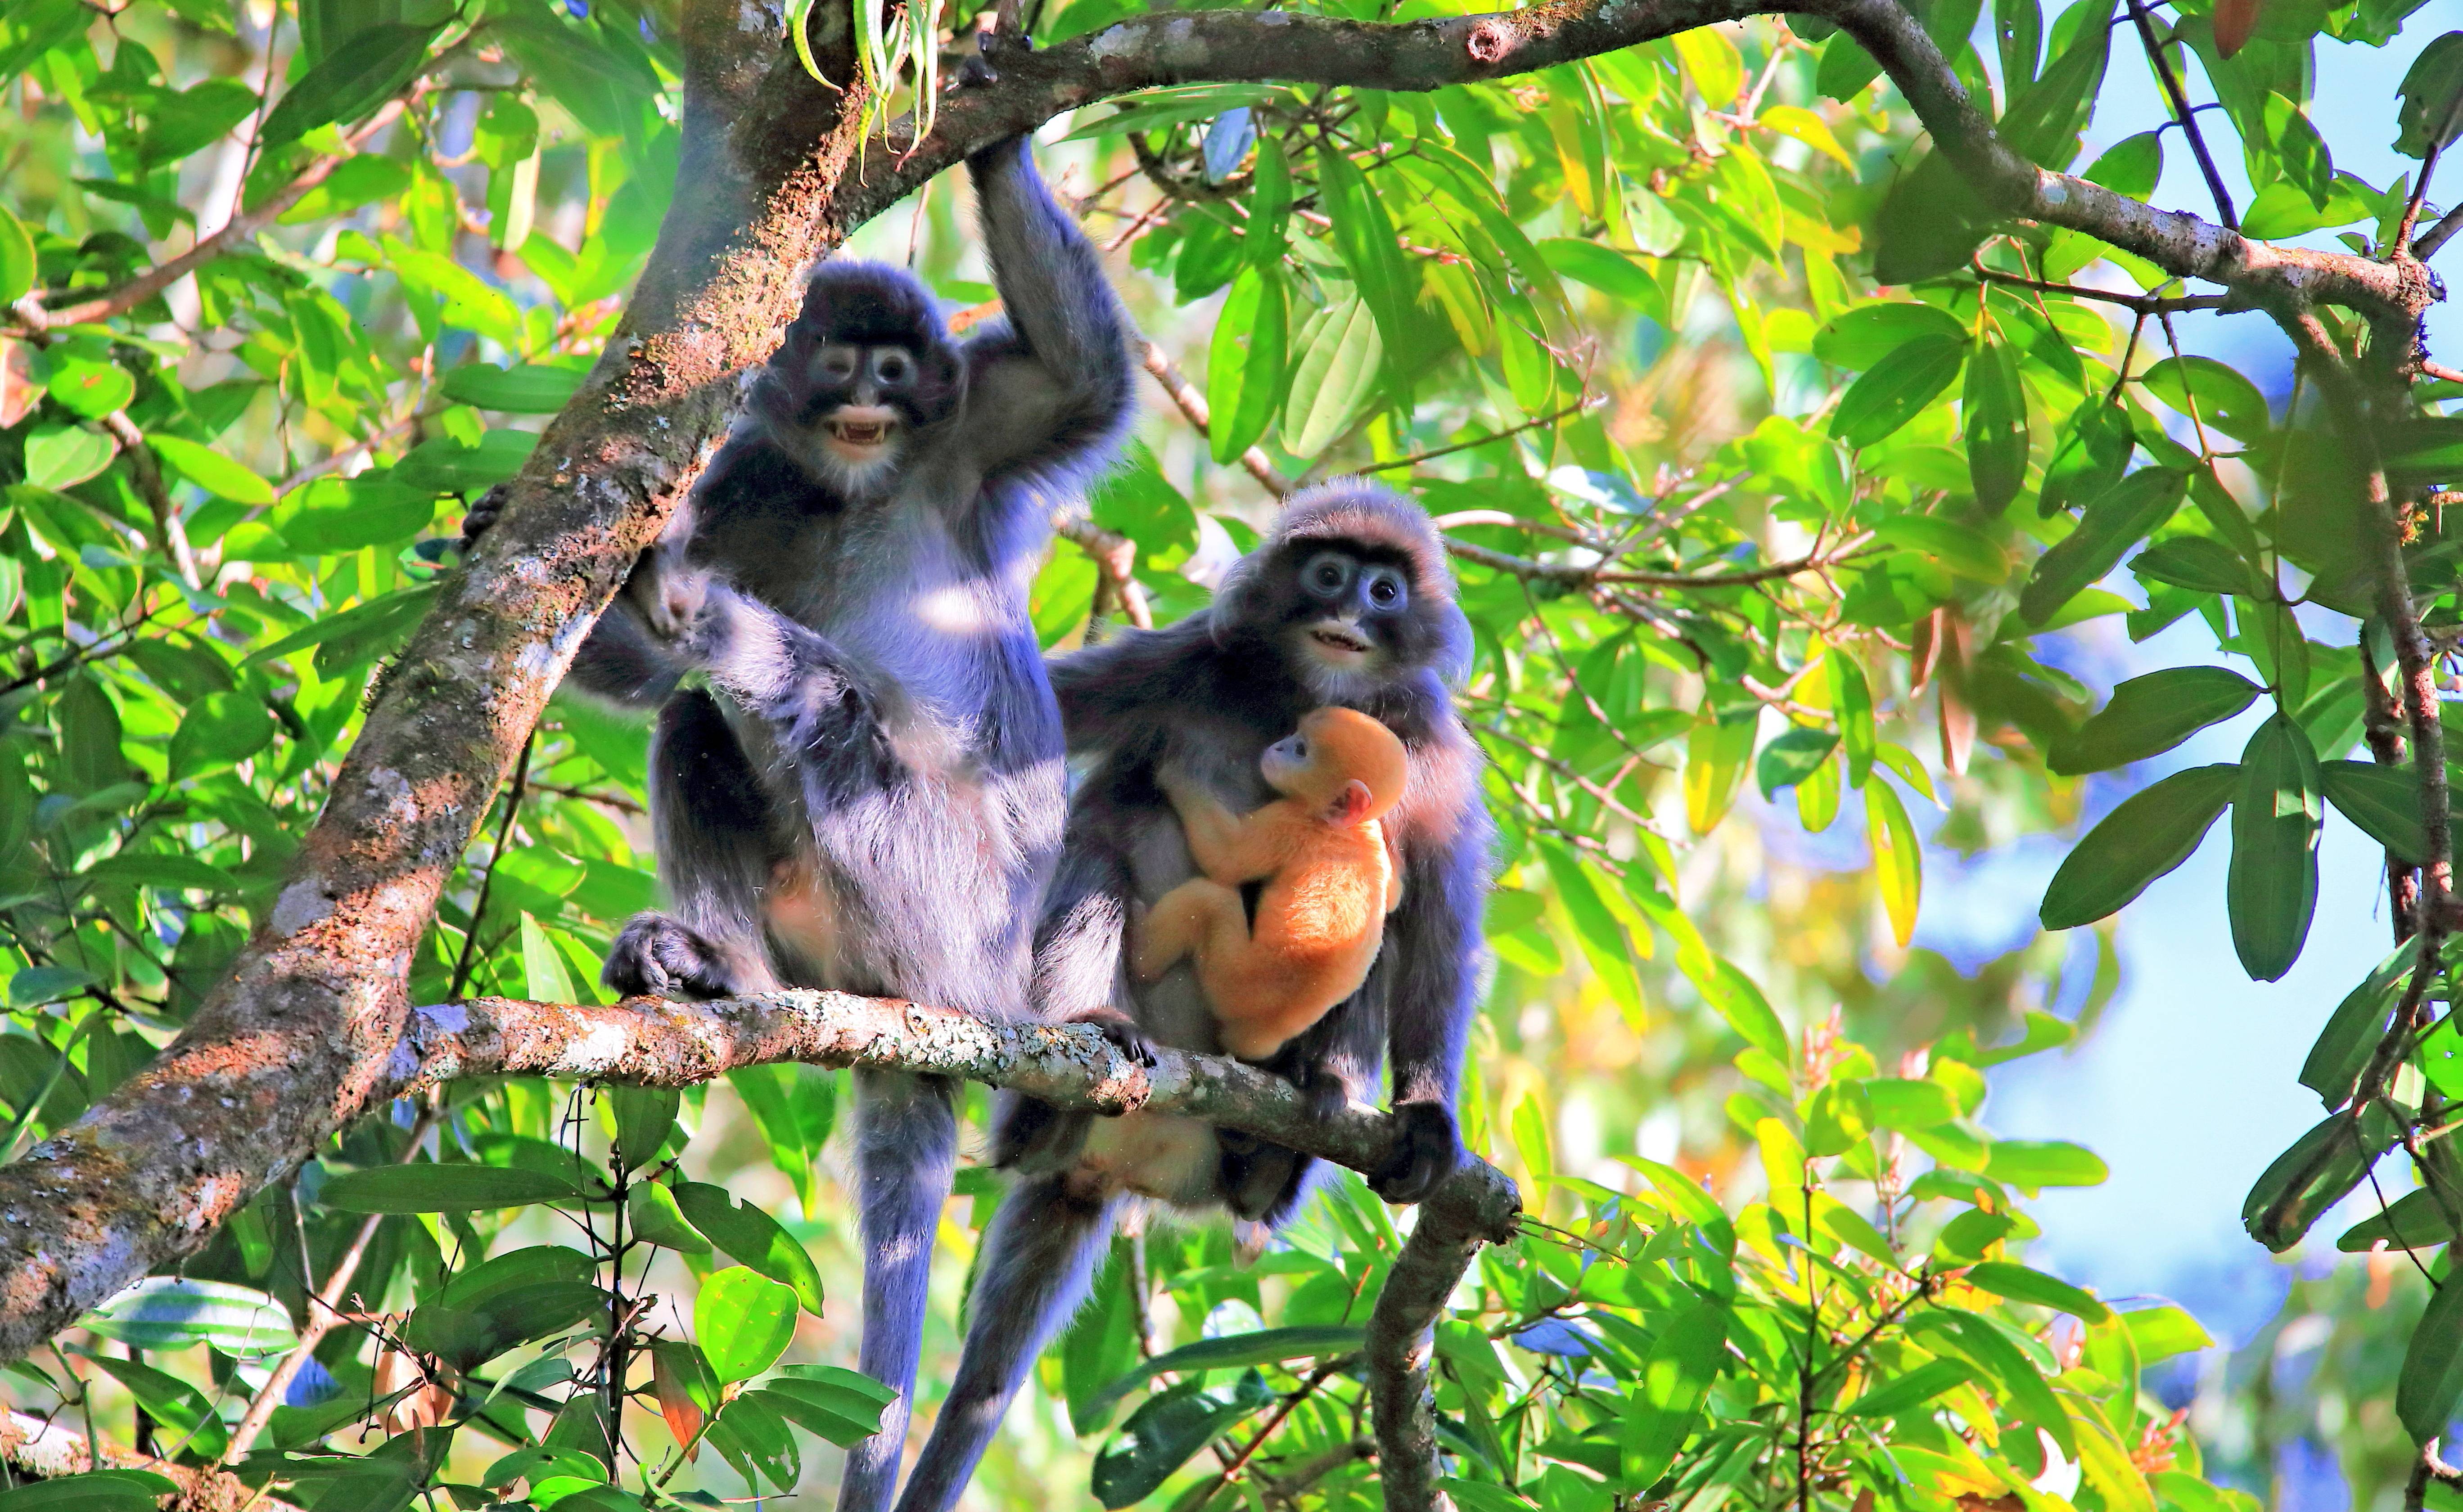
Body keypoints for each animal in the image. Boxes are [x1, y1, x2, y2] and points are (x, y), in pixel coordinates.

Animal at [461, 132, 1132, 1512]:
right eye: (839, 362)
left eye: (897, 368)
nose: (867, 393)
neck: (848, 486)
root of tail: (962, 1000)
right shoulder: (753, 478)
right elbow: (643, 692)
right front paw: (507, 530)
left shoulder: (971, 431)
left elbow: (1081, 382)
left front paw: (995, 132)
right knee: (697, 723)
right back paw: (720, 965)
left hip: (934, 894)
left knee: (810, 698)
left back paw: (691, 610)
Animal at [1131, 706, 1409, 1061]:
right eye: (1294, 737)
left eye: (1301, 750)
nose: (1278, 746)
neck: (1350, 827)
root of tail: (1260, 1033)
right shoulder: (1374, 840)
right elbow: (1394, 896)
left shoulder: (1292, 823)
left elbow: (1227, 858)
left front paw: (1177, 774)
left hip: (1232, 982)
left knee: (1209, 901)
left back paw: (1141, 952)